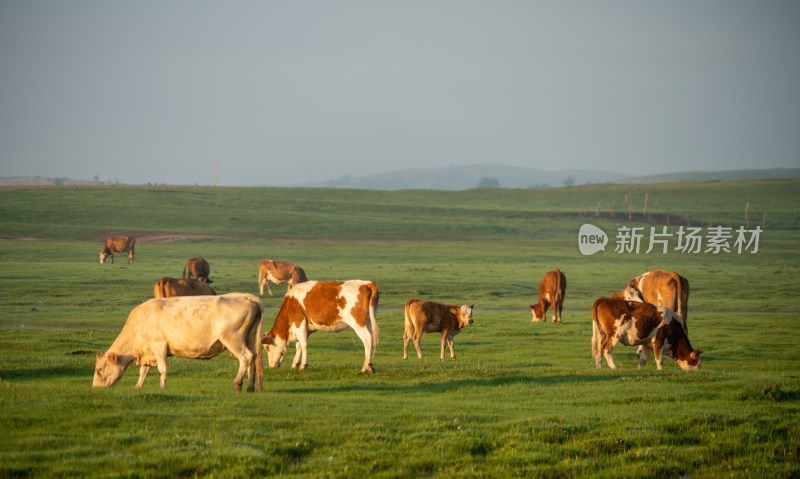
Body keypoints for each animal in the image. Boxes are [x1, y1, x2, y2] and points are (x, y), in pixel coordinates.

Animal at [93, 294, 262, 392]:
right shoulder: (148, 352)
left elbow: (161, 369)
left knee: (245, 358)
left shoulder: (159, 345)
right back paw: (250, 387)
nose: (95, 387)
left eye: (99, 370)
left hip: (232, 338)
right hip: (249, 337)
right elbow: (143, 371)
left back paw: (238, 384)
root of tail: (248, 298)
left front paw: (162, 387)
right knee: (253, 359)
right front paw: (137, 387)